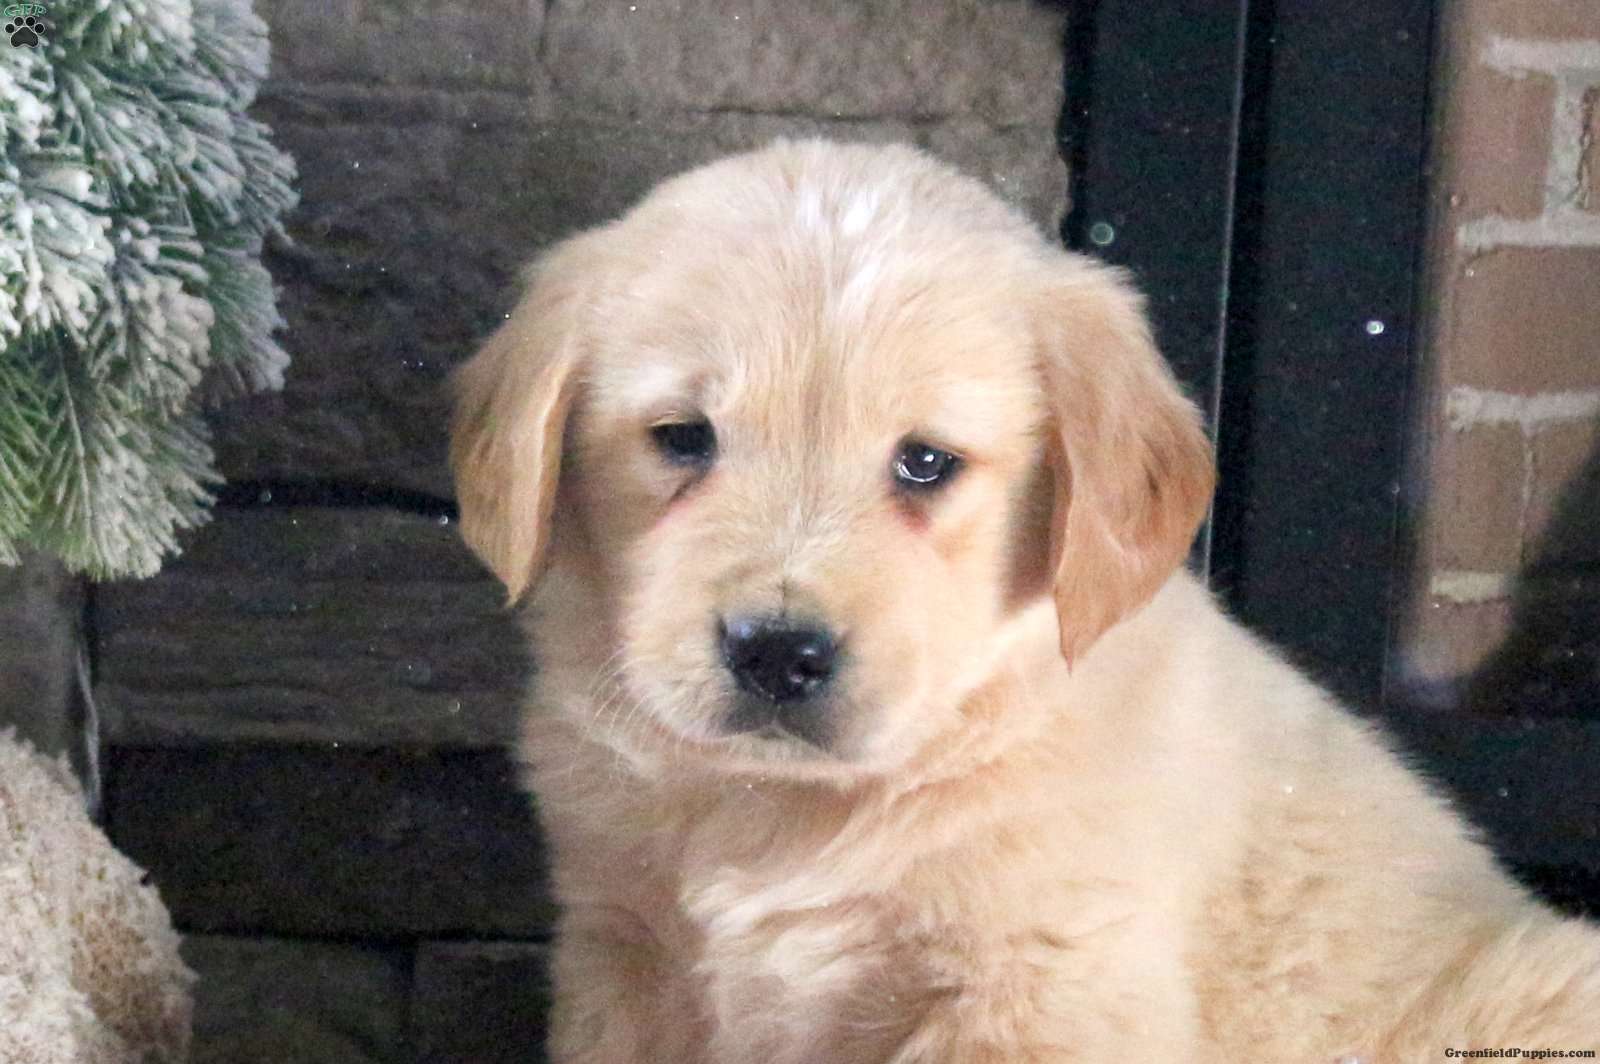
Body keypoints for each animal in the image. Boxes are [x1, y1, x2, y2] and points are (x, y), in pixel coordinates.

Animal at [450, 140, 1600, 1063]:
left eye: (924, 462)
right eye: (683, 438)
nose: (777, 652)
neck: (788, 807)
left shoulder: (1039, 988)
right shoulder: (626, 952)